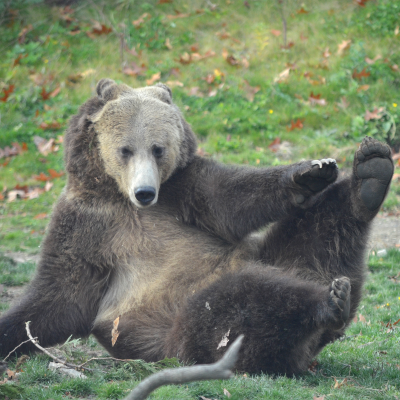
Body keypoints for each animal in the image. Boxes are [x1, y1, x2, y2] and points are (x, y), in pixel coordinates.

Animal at [0, 79, 394, 376]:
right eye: (126, 149)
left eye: (158, 149)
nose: (145, 192)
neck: (122, 200)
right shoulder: (89, 225)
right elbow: (59, 296)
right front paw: (11, 335)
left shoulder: (184, 191)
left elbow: (233, 198)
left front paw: (313, 171)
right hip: (179, 333)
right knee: (240, 305)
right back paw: (327, 302)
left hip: (280, 253)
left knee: (323, 224)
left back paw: (370, 176)